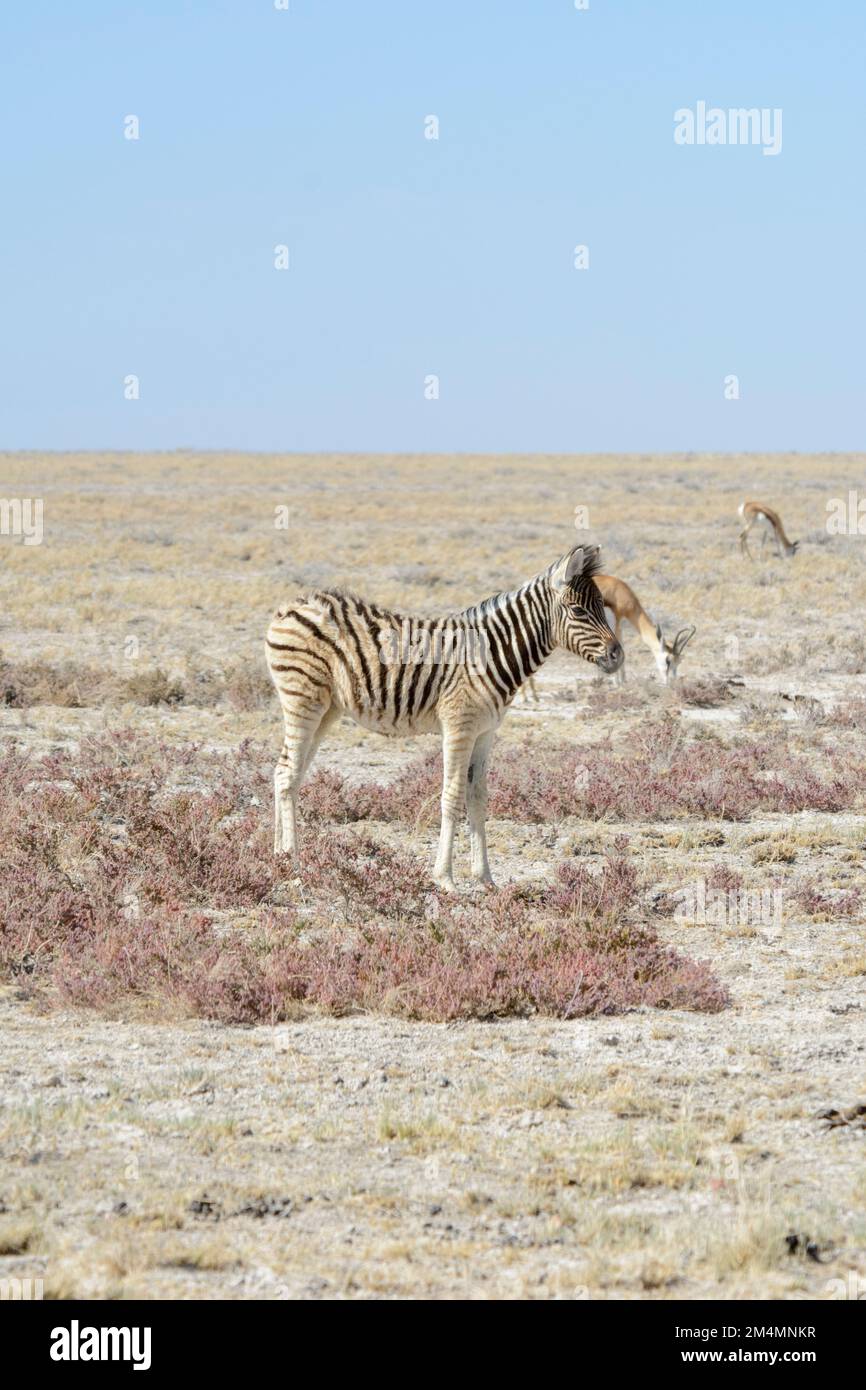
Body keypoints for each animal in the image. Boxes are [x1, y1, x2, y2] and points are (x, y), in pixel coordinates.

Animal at [265, 542, 622, 889]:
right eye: (578, 610)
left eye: (602, 605)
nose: (617, 656)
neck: (490, 654)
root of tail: (291, 605)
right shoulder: (458, 726)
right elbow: (452, 796)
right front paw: (445, 878)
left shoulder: (485, 732)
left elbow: (478, 798)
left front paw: (485, 878)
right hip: (303, 699)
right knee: (286, 773)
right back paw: (293, 863)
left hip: (326, 709)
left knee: (286, 772)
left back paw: (278, 856)